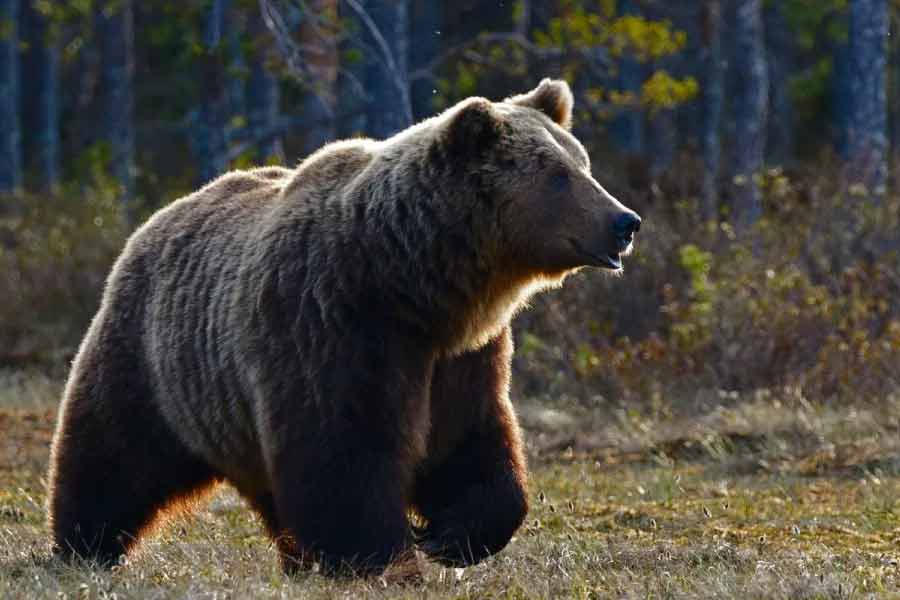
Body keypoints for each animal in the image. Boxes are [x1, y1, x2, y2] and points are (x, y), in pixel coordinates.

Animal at [46, 79, 641, 576]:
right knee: (113, 453)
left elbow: (470, 441)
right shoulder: (333, 324)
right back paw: (83, 546)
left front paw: (450, 536)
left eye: (583, 163)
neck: (413, 284)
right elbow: (343, 449)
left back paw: (295, 558)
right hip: (154, 360)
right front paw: (378, 554)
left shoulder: (462, 356)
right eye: (558, 175)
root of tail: (157, 218)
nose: (625, 221)